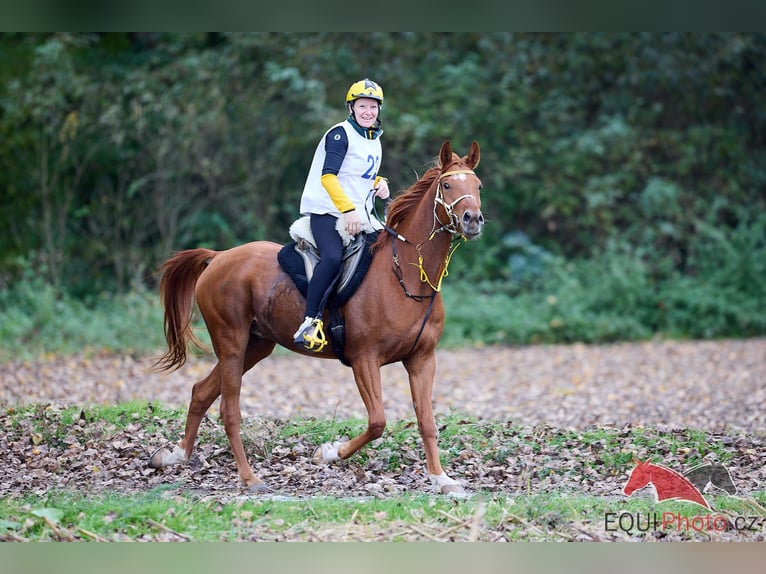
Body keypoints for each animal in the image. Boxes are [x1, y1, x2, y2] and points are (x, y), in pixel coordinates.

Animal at [149, 140, 484, 496]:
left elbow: (426, 420)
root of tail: (218, 257)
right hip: (231, 343)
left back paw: (174, 456)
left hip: (256, 346)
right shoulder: (365, 358)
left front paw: (441, 478)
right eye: (447, 186)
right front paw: (329, 452)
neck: (405, 276)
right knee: (229, 408)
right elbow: (377, 421)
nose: (472, 219)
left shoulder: (422, 359)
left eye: (477, 185)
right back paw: (249, 477)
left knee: (201, 391)